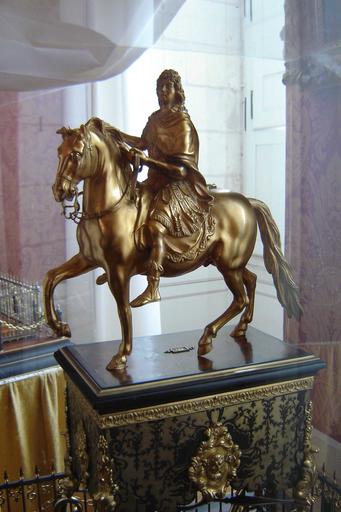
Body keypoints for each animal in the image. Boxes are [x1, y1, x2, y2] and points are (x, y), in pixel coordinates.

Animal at [43, 118, 302, 370]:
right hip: (227, 263)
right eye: (58, 152)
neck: (111, 208)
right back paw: (240, 328)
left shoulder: (118, 271)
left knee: (240, 298)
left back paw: (206, 339)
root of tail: (248, 201)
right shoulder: (87, 259)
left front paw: (121, 356)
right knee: (252, 280)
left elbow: (123, 310)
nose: (59, 191)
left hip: (229, 266)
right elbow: (51, 277)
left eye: (76, 154)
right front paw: (60, 327)